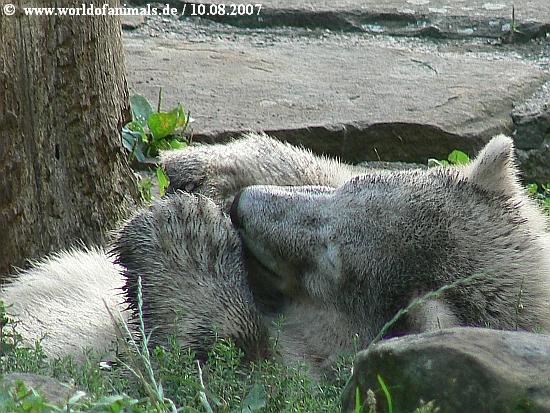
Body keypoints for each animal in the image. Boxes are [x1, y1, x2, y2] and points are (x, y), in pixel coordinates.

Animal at [1, 133, 549, 378]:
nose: (243, 207)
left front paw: (182, 234)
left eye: (331, 261)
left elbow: (227, 364)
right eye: (350, 190)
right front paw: (199, 168)